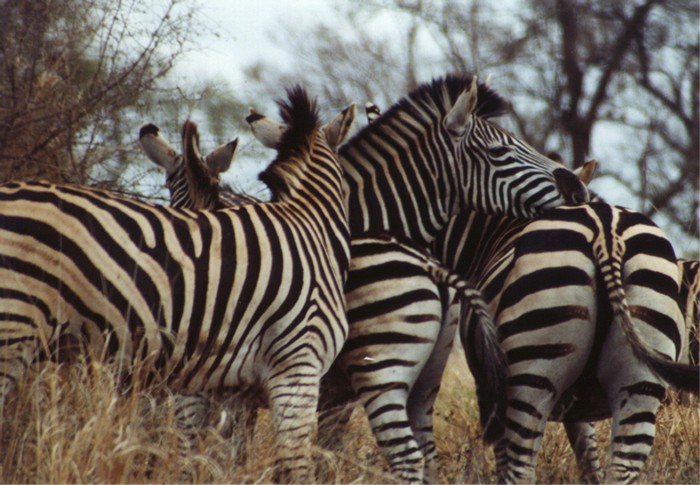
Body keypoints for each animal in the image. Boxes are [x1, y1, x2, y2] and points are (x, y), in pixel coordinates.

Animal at [1, 87, 356, 480]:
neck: (311, 223)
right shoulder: (298, 367)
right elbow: (296, 467)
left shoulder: (233, 386)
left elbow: (222, 460)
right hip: (14, 326)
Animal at [139, 119, 506, 482]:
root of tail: (427, 262)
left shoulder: (207, 385)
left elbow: (201, 449)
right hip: (426, 379)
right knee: (428, 455)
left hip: (381, 371)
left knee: (406, 456)